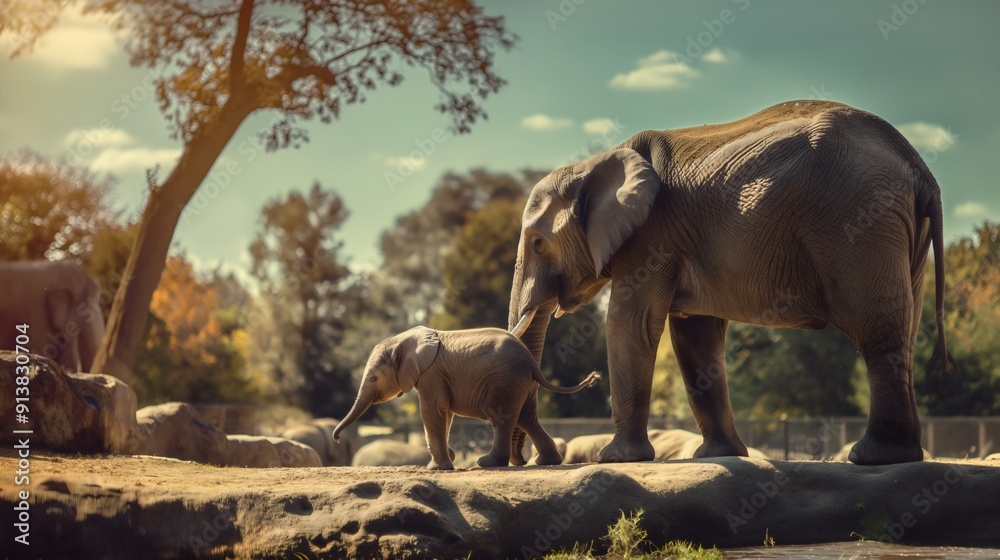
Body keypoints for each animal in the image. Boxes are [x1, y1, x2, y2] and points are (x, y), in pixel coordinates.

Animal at [333, 326, 601, 470]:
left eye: (373, 379)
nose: (336, 439)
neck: (402, 339)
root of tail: (532, 363)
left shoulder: (431, 374)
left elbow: (432, 411)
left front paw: (438, 468)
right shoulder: (438, 377)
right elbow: (445, 414)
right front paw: (445, 462)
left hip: (504, 381)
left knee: (502, 420)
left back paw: (487, 463)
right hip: (521, 383)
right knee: (528, 418)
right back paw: (546, 461)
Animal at [508, 100, 949, 466]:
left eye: (538, 243)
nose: (535, 461)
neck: (596, 163)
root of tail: (919, 166)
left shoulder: (652, 235)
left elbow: (631, 323)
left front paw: (615, 459)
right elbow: (694, 334)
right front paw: (718, 456)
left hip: (857, 219)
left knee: (878, 331)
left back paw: (871, 458)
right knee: (905, 330)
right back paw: (899, 456)